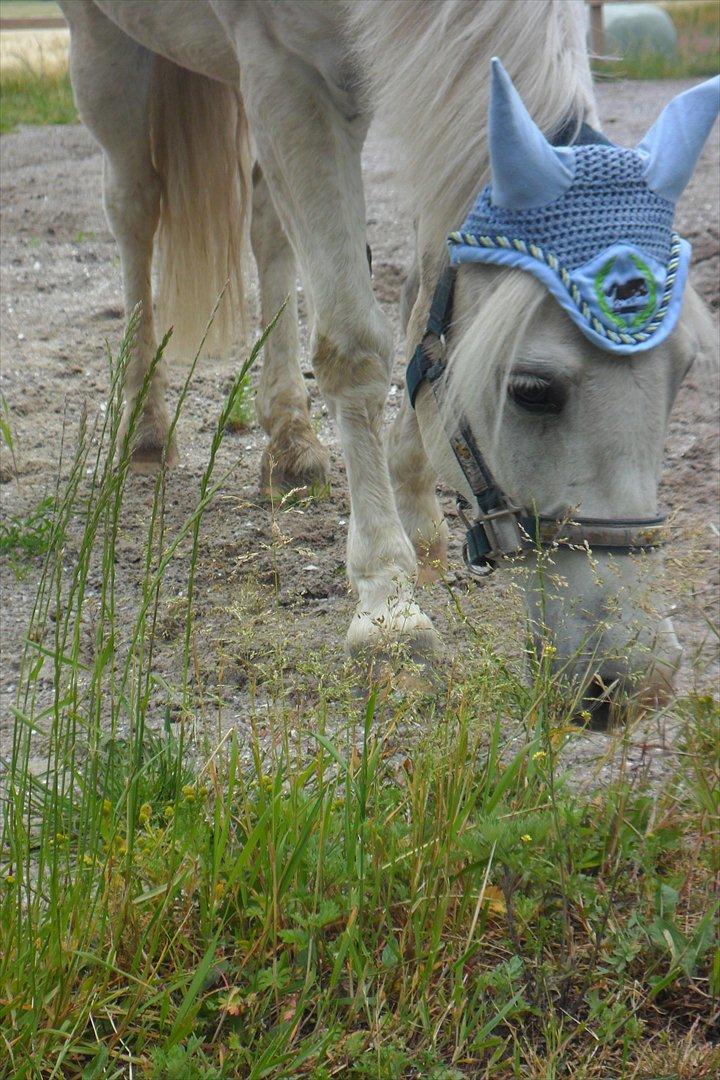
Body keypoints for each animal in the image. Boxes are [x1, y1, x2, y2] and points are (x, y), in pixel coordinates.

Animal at [57, 4, 716, 717]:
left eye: (682, 373)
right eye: (533, 390)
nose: (636, 681)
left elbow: (424, 306)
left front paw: (419, 520)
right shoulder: (287, 71)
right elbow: (354, 346)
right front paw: (389, 608)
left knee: (266, 226)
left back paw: (290, 441)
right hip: (107, 48)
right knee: (132, 205)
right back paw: (146, 426)